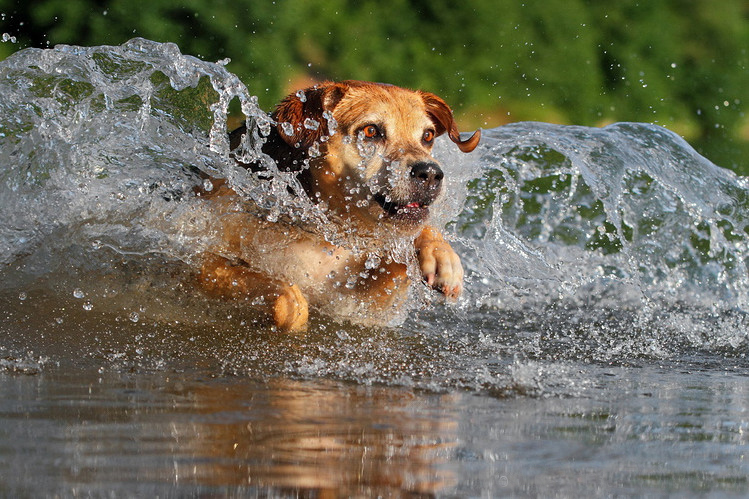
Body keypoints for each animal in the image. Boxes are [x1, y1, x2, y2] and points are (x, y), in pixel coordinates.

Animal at [197, 80, 480, 332]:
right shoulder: (199, 260)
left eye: (428, 136)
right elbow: (290, 302)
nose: (431, 174)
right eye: (371, 131)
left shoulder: (365, 305)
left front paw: (441, 258)